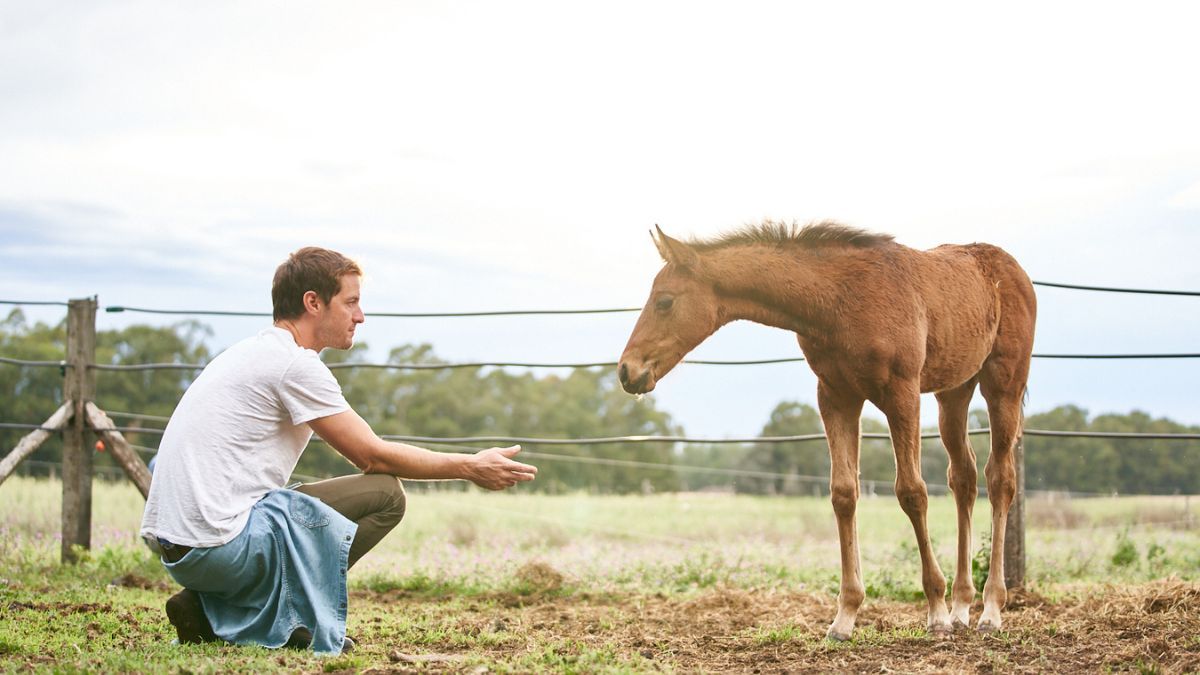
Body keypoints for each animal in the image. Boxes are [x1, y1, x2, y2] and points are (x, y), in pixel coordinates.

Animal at [618, 221, 1036, 640]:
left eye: (664, 301)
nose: (626, 371)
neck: (838, 299)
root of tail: (1014, 269)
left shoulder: (901, 394)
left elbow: (912, 492)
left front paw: (934, 609)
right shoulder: (837, 397)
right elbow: (843, 494)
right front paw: (845, 616)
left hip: (1003, 385)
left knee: (1000, 479)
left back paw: (990, 610)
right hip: (954, 392)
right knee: (963, 476)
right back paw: (963, 606)